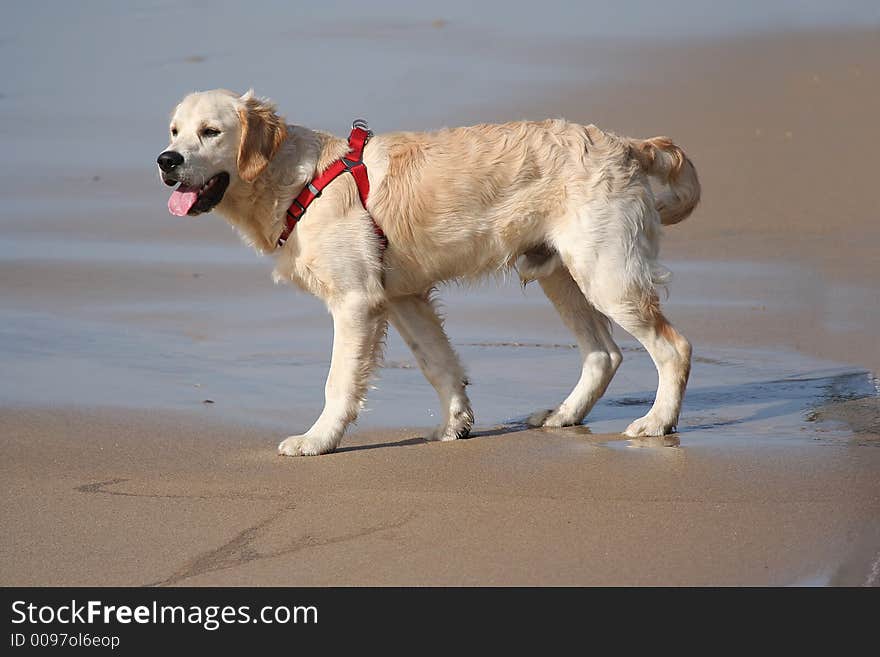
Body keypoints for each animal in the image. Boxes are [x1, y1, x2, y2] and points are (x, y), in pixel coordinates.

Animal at [158, 89, 700, 454]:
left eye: (211, 131)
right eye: (175, 131)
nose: (166, 161)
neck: (300, 183)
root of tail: (626, 144)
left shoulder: (357, 302)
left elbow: (338, 382)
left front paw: (317, 440)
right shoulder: (403, 297)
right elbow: (438, 364)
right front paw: (455, 425)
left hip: (606, 274)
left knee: (673, 348)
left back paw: (657, 423)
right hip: (562, 274)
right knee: (603, 354)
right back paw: (565, 415)